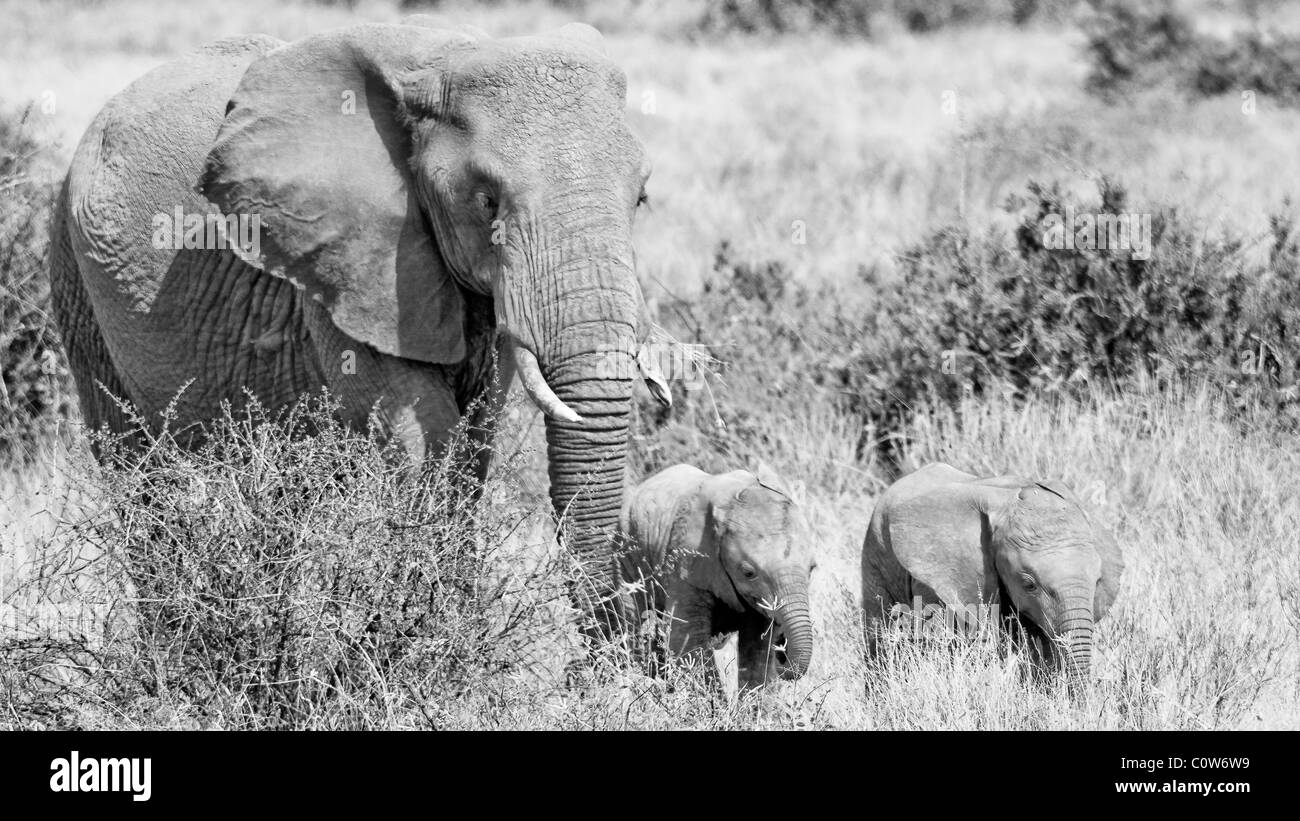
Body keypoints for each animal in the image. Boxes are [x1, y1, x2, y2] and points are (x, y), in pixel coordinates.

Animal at [48, 19, 670, 633]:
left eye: (641, 197)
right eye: (487, 201)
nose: (624, 634)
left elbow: (474, 441)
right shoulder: (345, 266)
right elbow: (427, 438)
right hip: (75, 271)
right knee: (139, 476)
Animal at [618, 465, 811, 691]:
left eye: (812, 568)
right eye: (748, 573)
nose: (783, 654)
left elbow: (758, 648)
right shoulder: (688, 559)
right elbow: (685, 639)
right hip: (625, 547)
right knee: (631, 618)